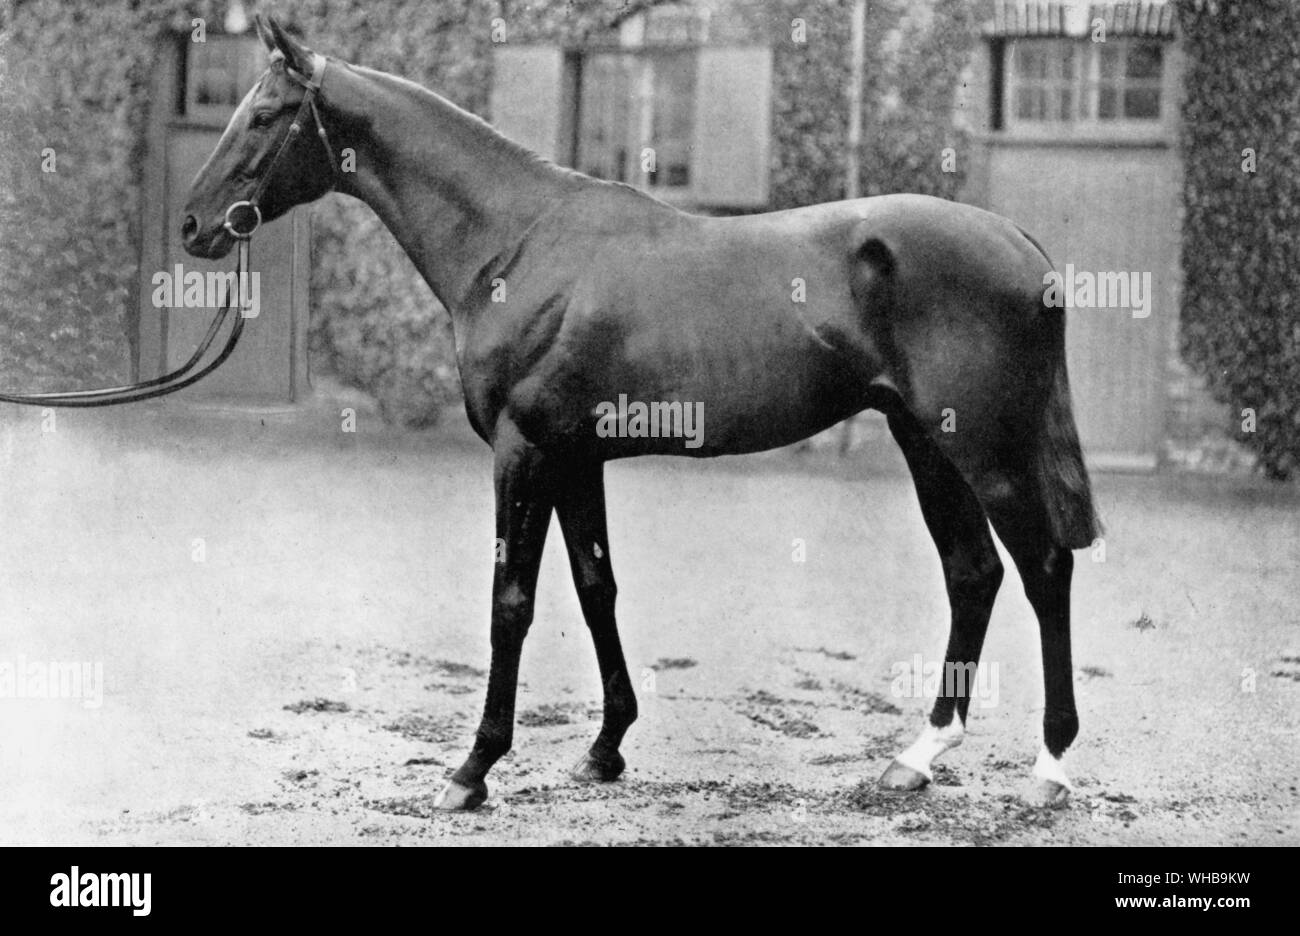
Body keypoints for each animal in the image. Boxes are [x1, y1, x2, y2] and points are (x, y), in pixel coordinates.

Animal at [180, 18, 1097, 816]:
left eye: (263, 115)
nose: (194, 225)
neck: (517, 244)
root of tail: (1021, 245)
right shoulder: (576, 458)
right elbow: (596, 590)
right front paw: (605, 747)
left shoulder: (523, 452)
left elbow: (511, 602)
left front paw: (473, 769)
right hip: (926, 442)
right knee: (972, 572)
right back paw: (918, 756)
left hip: (984, 449)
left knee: (1045, 569)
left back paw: (1048, 767)